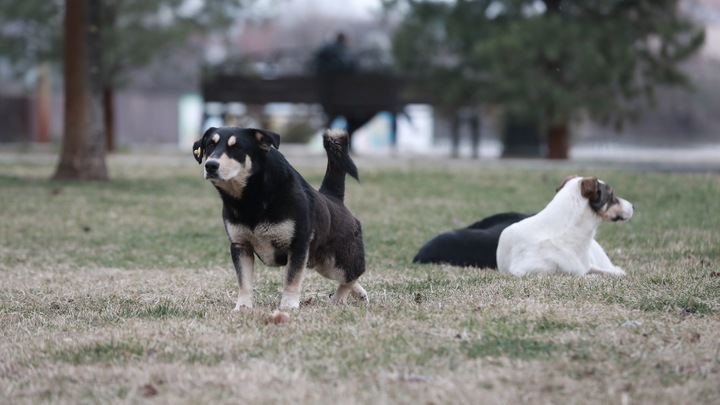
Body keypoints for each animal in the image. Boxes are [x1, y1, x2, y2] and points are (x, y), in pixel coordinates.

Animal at [193, 126, 366, 310]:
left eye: (237, 147)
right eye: (210, 145)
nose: (210, 165)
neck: (251, 198)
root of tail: (333, 198)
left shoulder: (298, 244)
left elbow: (292, 278)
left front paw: (289, 305)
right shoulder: (240, 246)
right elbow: (243, 281)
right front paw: (242, 307)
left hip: (337, 261)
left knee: (353, 274)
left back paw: (338, 299)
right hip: (321, 263)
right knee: (350, 278)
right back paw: (359, 295)